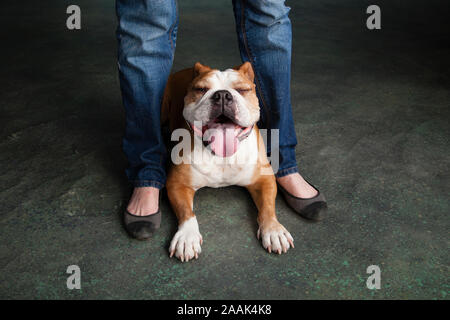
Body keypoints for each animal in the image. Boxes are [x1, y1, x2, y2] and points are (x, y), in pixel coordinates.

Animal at [162, 61, 296, 262]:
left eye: (242, 90)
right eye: (201, 89)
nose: (223, 95)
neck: (221, 157)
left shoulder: (264, 180)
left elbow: (267, 207)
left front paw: (273, 230)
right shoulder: (177, 184)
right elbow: (187, 212)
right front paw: (187, 236)